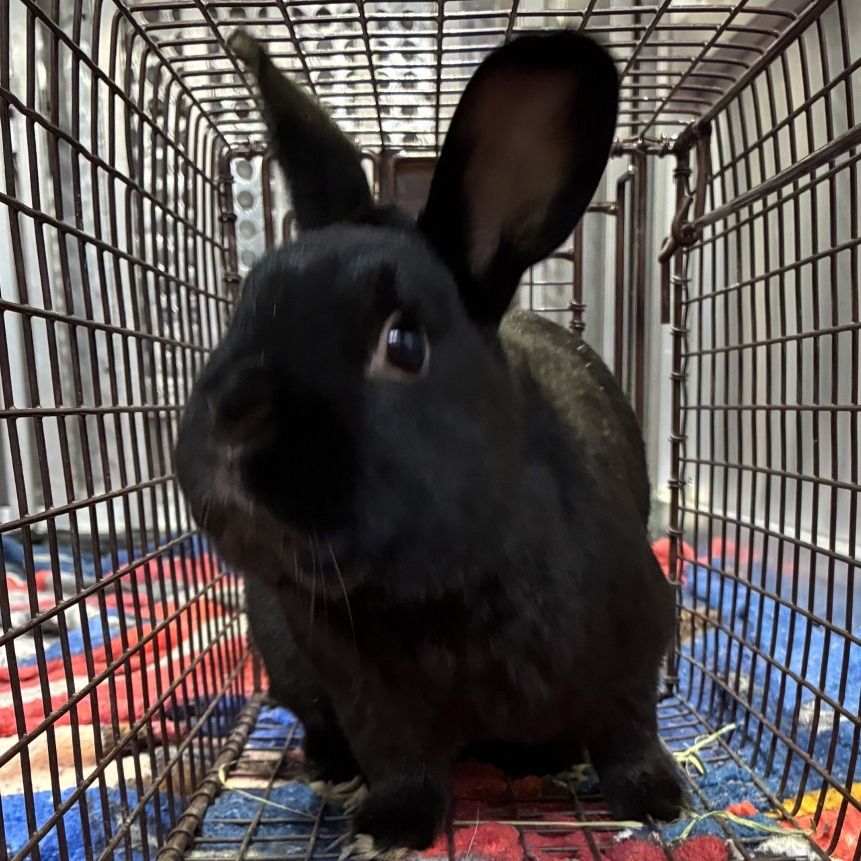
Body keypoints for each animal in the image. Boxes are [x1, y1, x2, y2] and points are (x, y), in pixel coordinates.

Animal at [175, 27, 685, 859]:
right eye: (245, 305)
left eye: (403, 342)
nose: (230, 421)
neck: (442, 587)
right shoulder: (371, 697)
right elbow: (402, 760)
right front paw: (389, 827)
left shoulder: (634, 642)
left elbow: (628, 730)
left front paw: (656, 800)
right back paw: (329, 768)